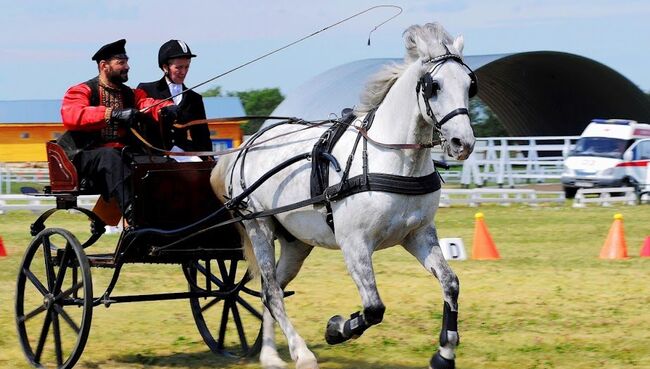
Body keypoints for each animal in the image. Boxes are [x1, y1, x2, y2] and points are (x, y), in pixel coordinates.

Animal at [210, 23, 474, 368]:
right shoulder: (354, 243)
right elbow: (374, 308)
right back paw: (301, 353)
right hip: (259, 228)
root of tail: (246, 145)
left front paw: (444, 353)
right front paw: (336, 328)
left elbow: (450, 283)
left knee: (272, 289)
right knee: (272, 292)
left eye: (470, 85)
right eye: (434, 86)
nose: (462, 143)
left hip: (296, 242)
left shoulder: (418, 235)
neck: (392, 159)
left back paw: (270, 355)